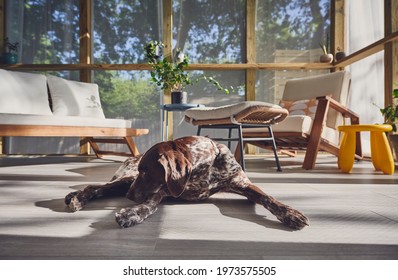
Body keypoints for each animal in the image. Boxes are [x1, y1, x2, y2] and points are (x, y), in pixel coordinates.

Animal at [64, 135, 308, 230]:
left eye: (146, 171)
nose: (130, 197)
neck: (206, 169)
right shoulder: (163, 189)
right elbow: (149, 205)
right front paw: (133, 213)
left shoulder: (243, 184)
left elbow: (268, 198)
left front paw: (291, 213)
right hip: (126, 180)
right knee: (96, 187)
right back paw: (75, 198)